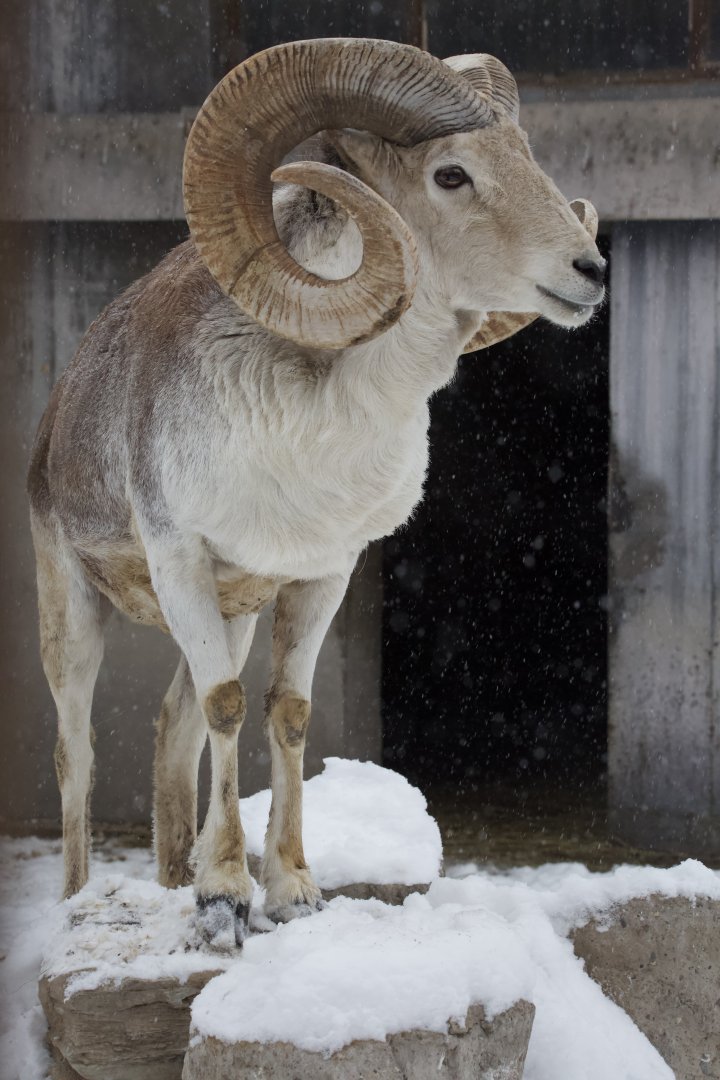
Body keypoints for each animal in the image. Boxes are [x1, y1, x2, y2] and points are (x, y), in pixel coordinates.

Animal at [27, 38, 605, 948]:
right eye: (450, 175)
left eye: (525, 154)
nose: (590, 272)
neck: (312, 419)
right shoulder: (180, 558)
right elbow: (229, 708)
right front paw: (224, 903)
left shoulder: (320, 575)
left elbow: (287, 713)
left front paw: (292, 893)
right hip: (75, 615)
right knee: (78, 751)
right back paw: (80, 902)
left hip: (232, 614)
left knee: (173, 728)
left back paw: (169, 883)